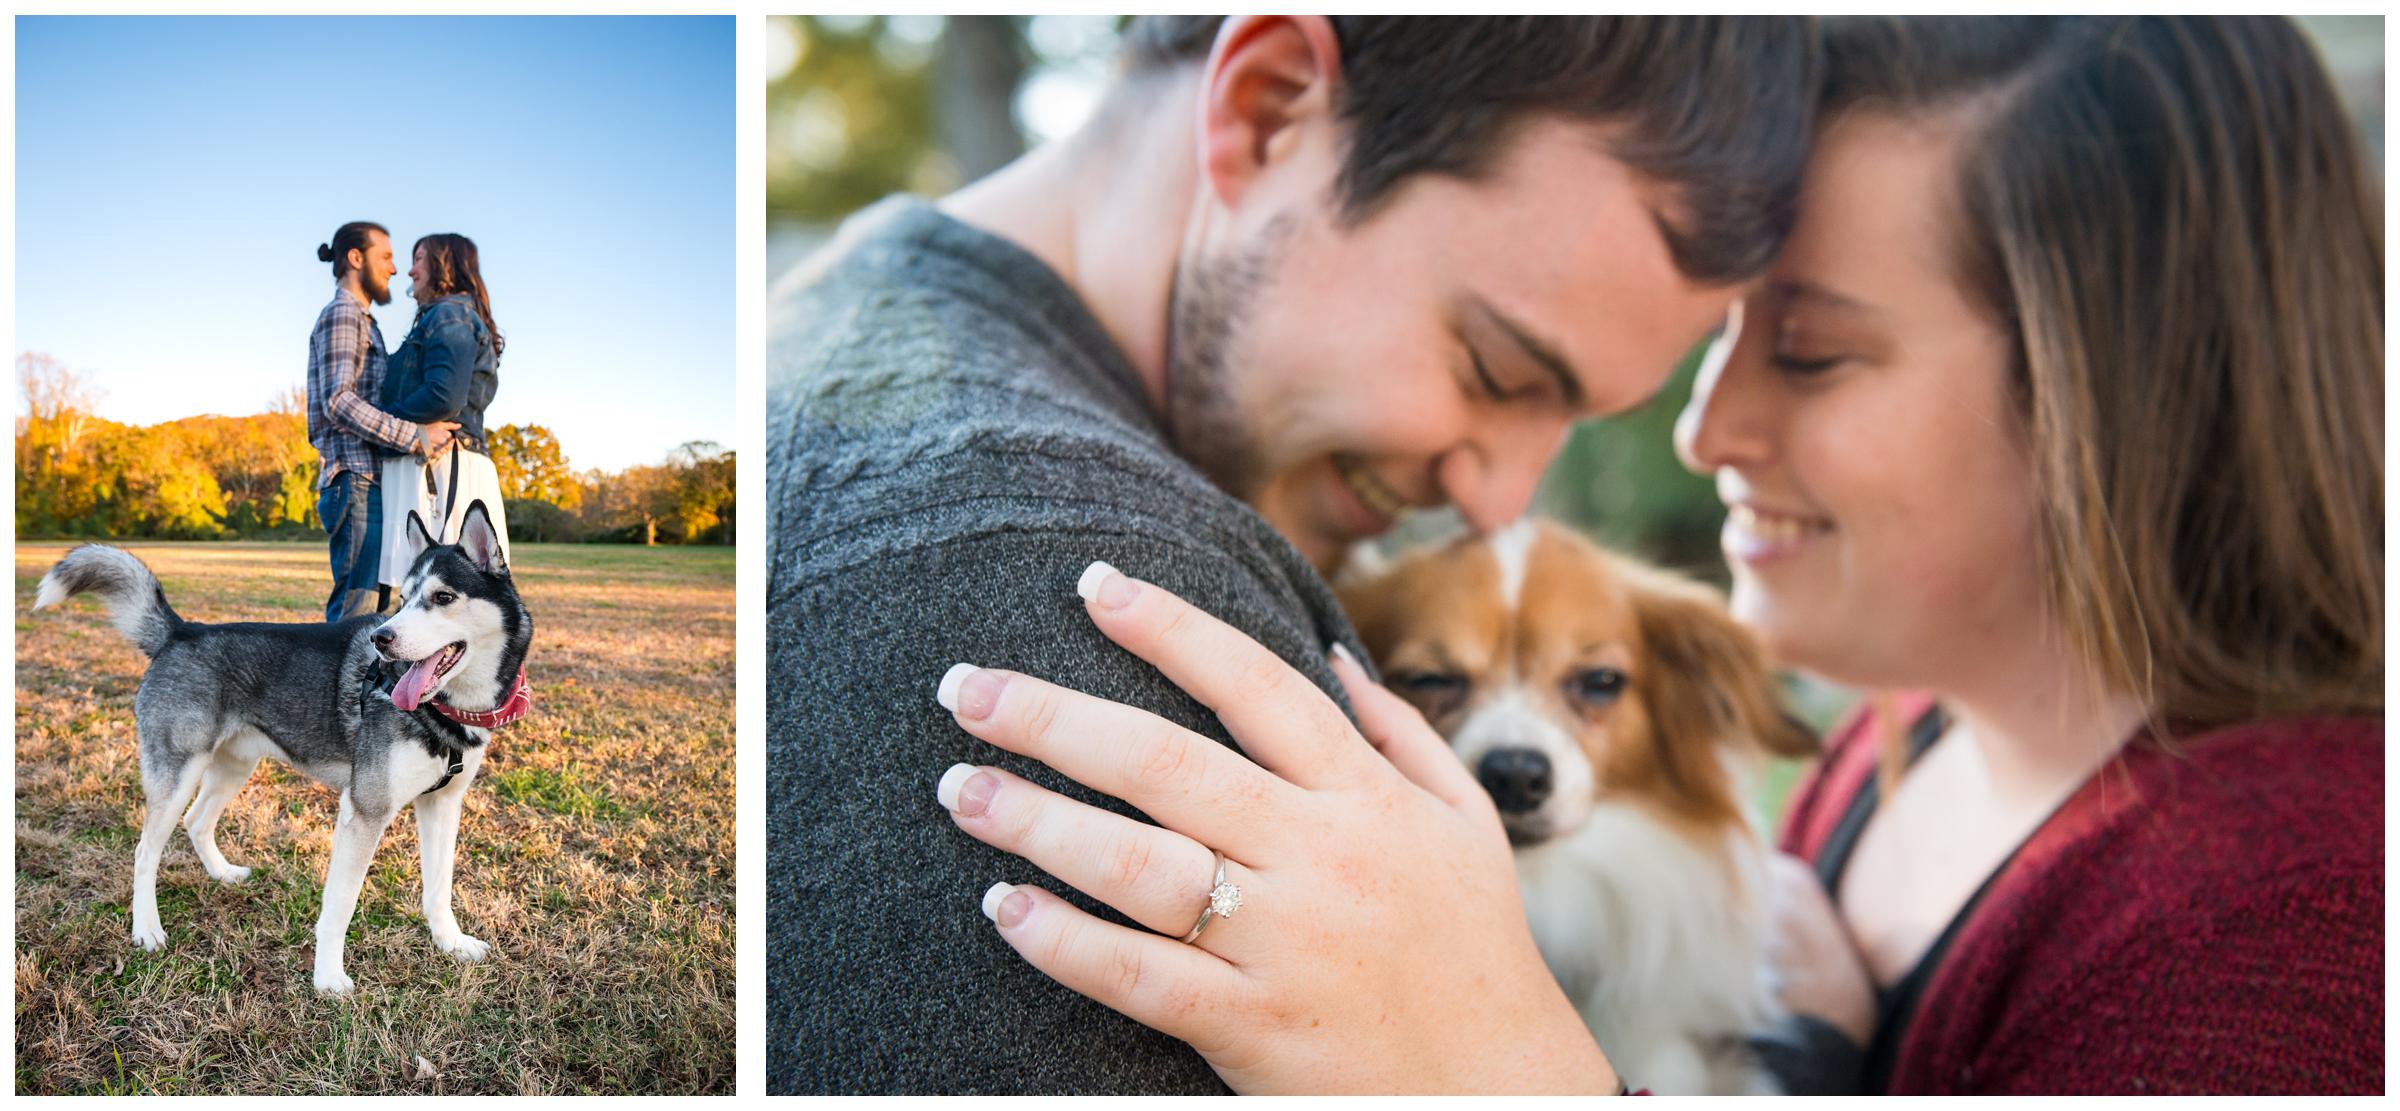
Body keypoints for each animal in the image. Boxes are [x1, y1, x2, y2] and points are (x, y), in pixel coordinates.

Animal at [34, 499, 530, 998]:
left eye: (443, 598)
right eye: (404, 598)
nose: (381, 639)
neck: (446, 709)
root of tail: (181, 632)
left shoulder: (443, 804)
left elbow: (439, 889)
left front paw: (450, 942)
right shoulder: (364, 811)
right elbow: (340, 906)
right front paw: (328, 977)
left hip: (235, 766)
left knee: (196, 821)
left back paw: (222, 874)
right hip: (178, 774)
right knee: (144, 852)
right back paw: (147, 929)